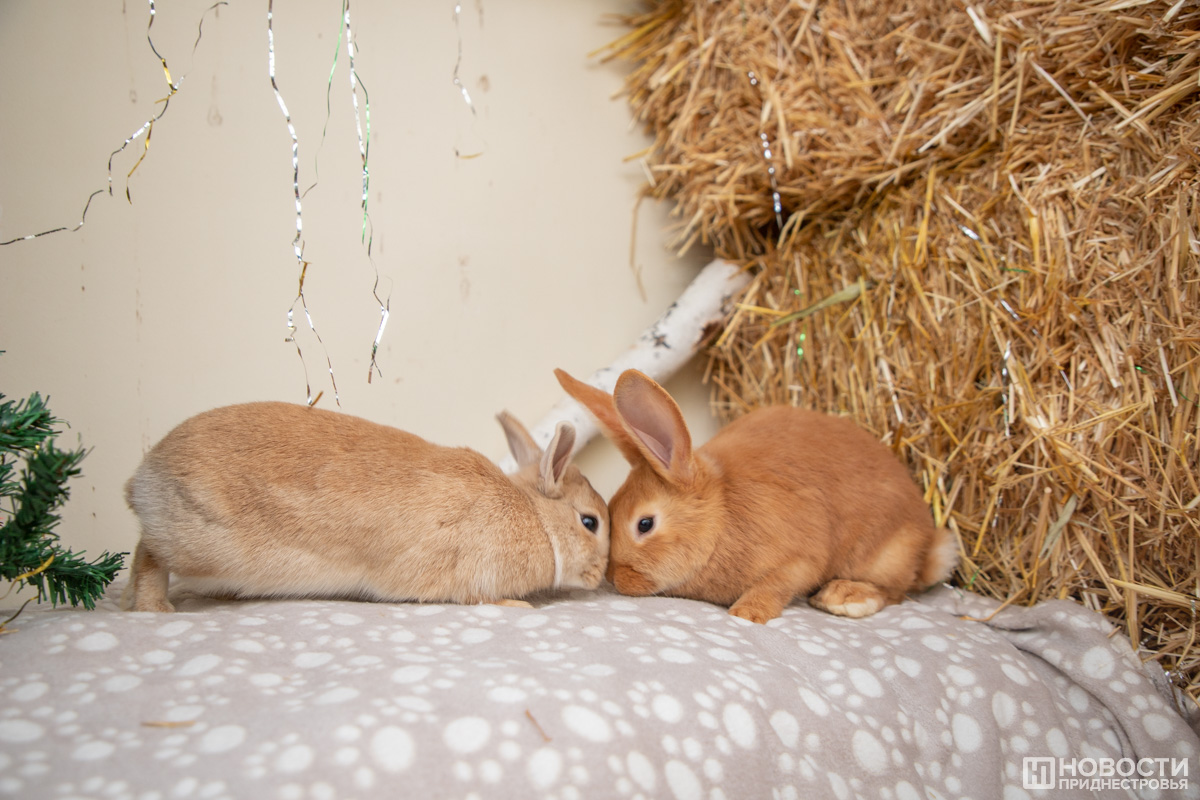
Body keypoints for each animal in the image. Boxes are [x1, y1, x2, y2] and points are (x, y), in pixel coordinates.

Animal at [121, 400, 609, 614]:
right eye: (590, 522)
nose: (600, 576)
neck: (535, 515)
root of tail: (143, 478)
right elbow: (483, 598)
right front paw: (518, 606)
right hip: (200, 546)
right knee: (148, 553)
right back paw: (153, 606)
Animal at [556, 369, 960, 623]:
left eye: (645, 524)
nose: (616, 579)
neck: (720, 514)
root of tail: (928, 543)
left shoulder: (800, 557)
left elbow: (777, 584)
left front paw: (747, 613)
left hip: (887, 555)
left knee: (897, 591)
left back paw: (845, 598)